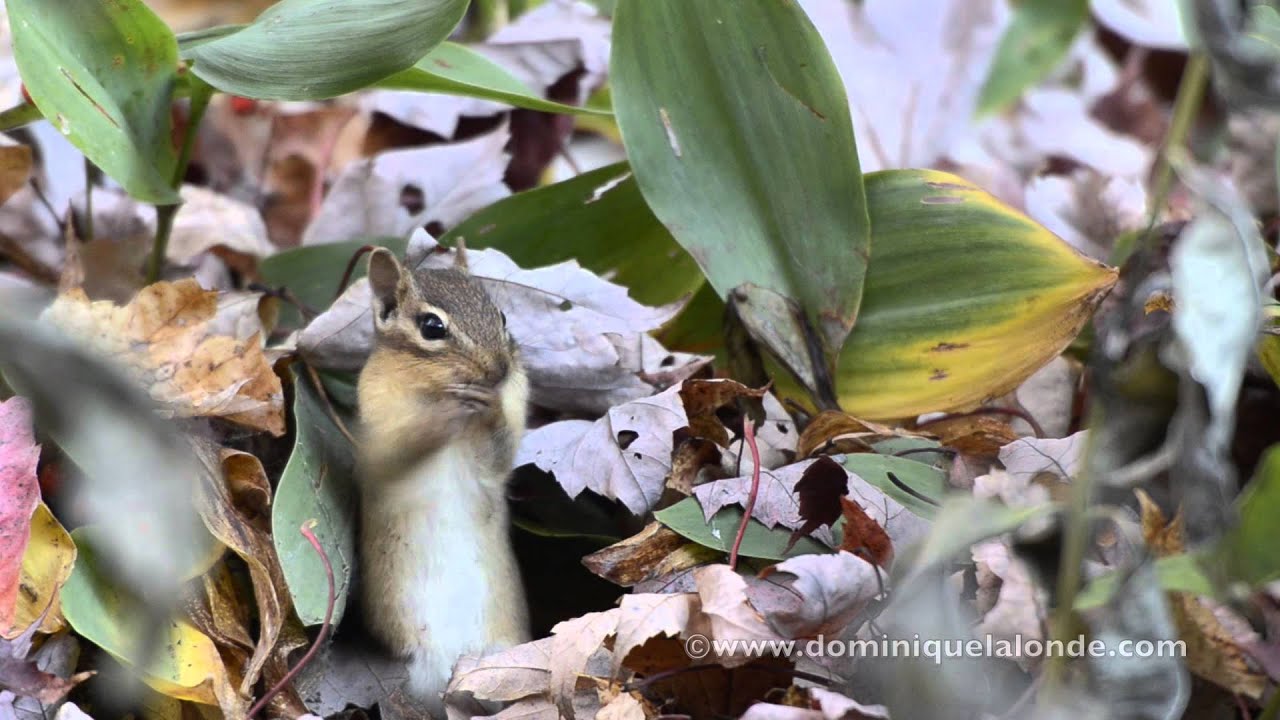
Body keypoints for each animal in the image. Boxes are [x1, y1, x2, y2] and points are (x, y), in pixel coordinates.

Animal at [356, 247, 529, 714]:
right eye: (432, 327)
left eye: (503, 316)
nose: (500, 370)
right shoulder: (375, 429)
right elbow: (395, 455)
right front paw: (443, 416)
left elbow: (497, 457)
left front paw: (488, 407)